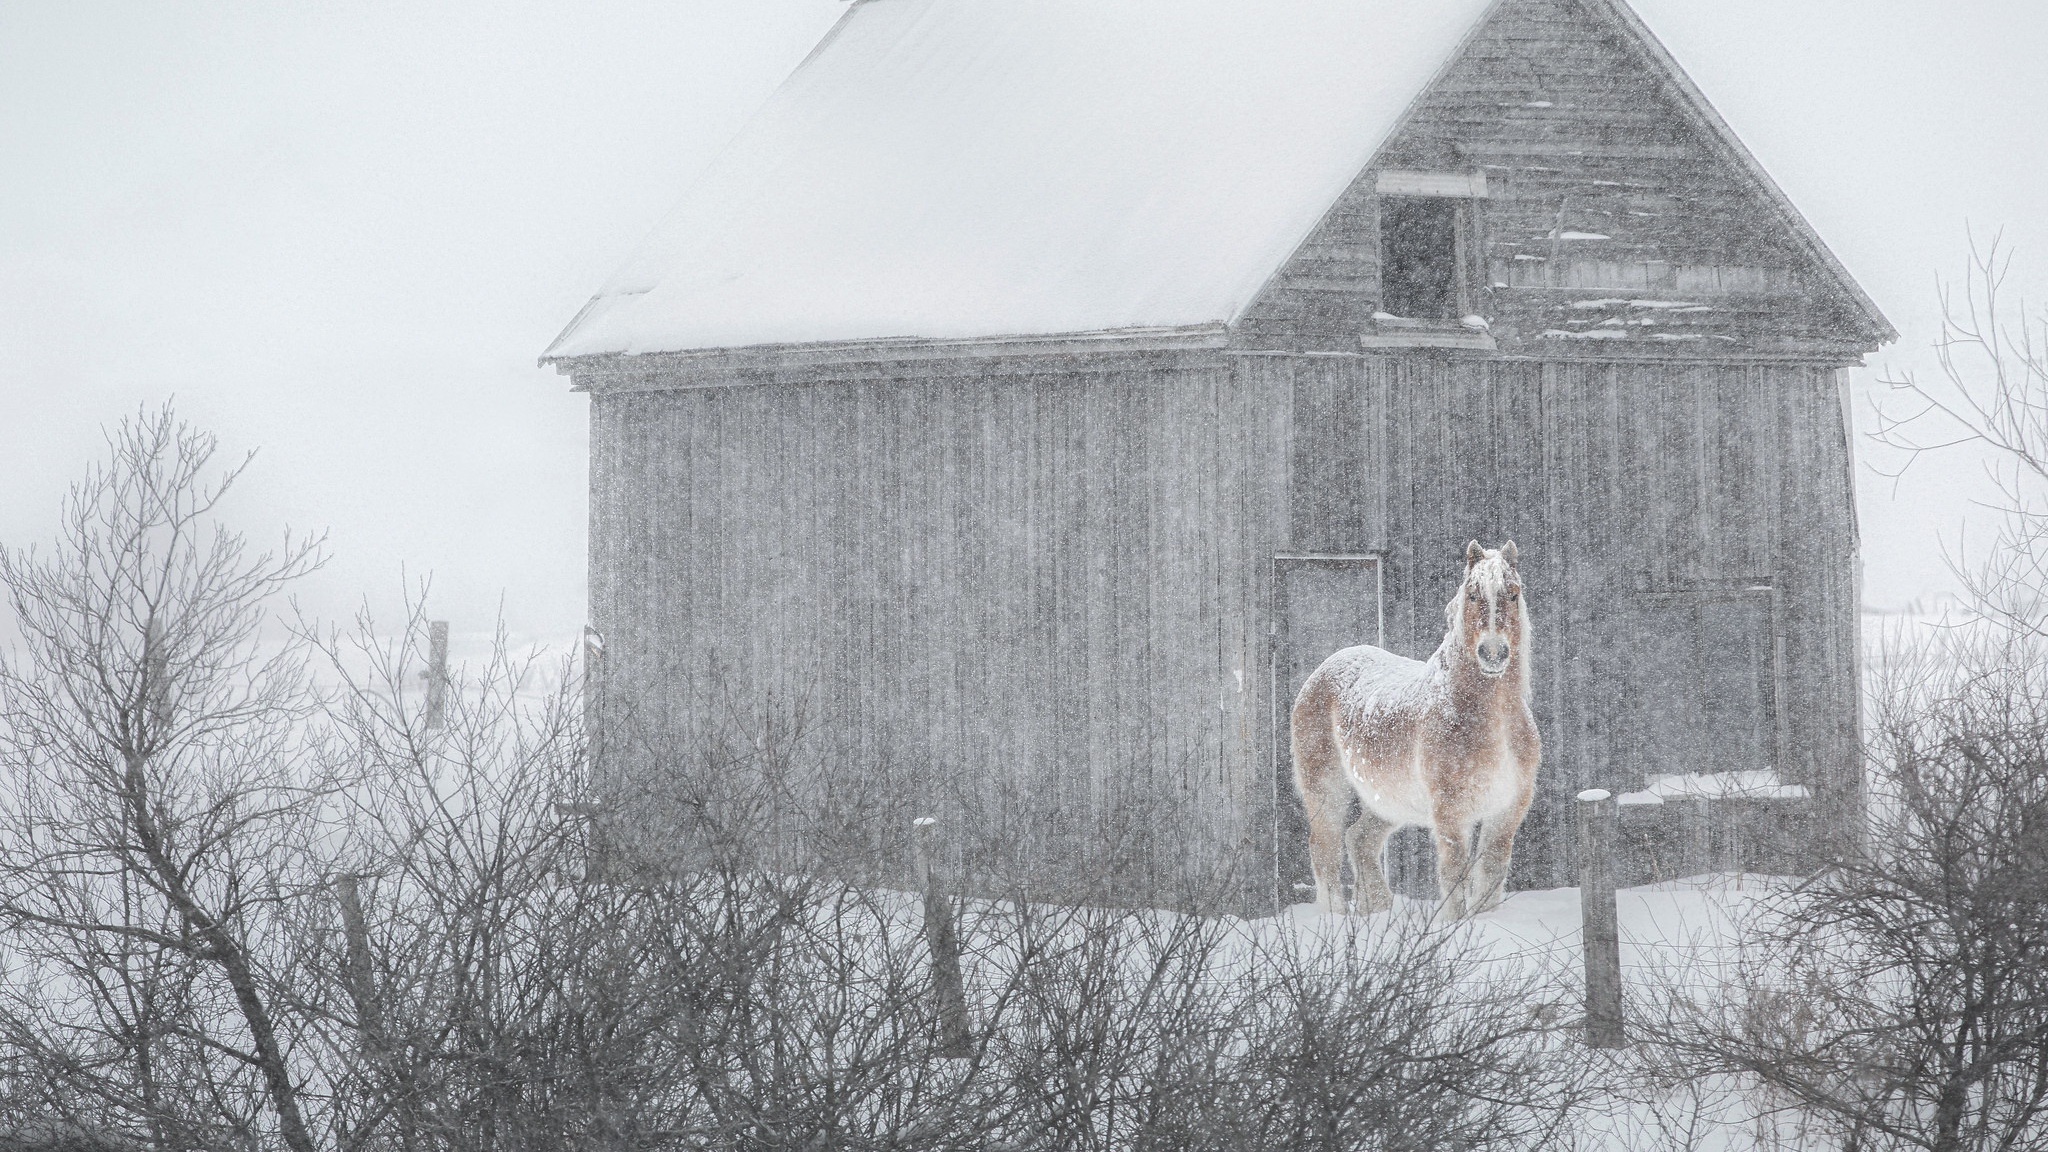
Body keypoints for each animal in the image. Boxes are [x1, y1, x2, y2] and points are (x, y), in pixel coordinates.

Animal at [1290, 541, 1540, 919]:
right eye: (1472, 594)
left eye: (1513, 593)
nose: (1493, 653)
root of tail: (1321, 672)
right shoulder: (1451, 813)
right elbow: (1454, 875)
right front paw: (1454, 925)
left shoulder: (1507, 811)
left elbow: (1491, 874)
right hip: (1326, 791)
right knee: (1325, 850)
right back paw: (1336, 916)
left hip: (1388, 802)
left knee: (1360, 840)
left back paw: (1377, 910)